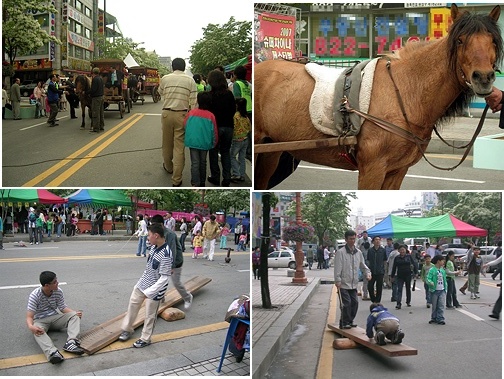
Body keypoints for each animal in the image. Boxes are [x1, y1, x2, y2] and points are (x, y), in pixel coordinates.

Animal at [254, 4, 502, 190]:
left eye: (492, 41)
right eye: (460, 41)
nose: (483, 78)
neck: (405, 90)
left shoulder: (397, 171)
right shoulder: (372, 169)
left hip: (271, 149)